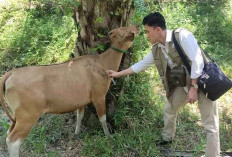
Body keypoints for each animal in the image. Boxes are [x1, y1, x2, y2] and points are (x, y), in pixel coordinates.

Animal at [0, 25, 140, 156]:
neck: (103, 63)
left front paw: (77, 133)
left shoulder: (82, 100)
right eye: (121, 31)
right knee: (13, 139)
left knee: (8, 133)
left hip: (17, 115)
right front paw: (108, 135)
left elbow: (80, 116)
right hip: (28, 115)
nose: (137, 26)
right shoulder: (99, 96)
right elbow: (103, 118)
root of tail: (11, 73)